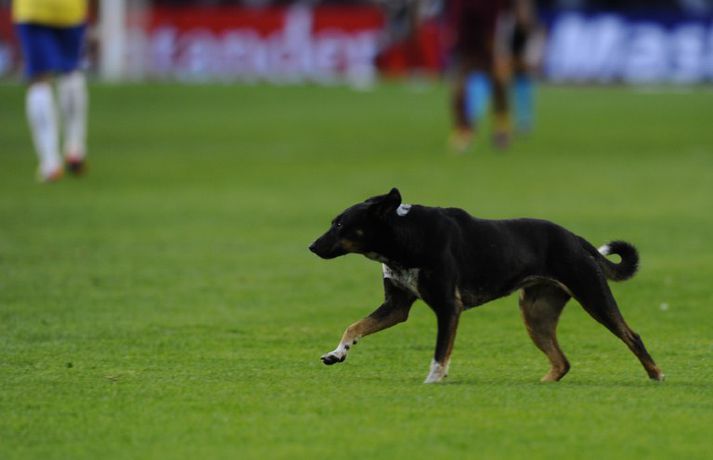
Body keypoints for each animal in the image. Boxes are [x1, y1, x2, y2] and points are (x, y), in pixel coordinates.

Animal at [309, 188, 664, 383]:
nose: (311, 246)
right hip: (535, 314)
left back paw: (656, 374)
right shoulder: (396, 306)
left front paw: (433, 380)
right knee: (562, 362)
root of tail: (575, 238)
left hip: (593, 296)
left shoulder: (448, 307)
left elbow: (440, 351)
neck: (405, 237)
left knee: (632, 336)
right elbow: (355, 326)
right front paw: (336, 353)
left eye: (340, 224)